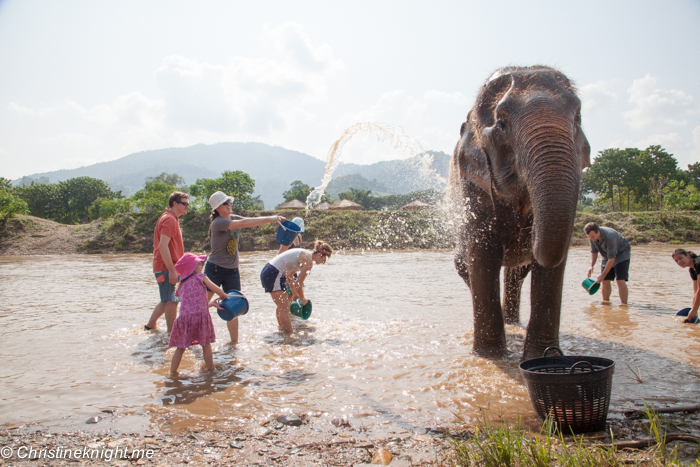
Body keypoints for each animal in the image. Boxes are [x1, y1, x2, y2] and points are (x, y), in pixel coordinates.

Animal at [448, 64, 592, 360]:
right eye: (502, 124)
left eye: (578, 118)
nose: (527, 229)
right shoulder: (472, 183)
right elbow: (482, 254)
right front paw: (491, 357)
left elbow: (551, 264)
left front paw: (542, 357)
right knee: (467, 267)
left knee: (517, 274)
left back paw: (512, 321)